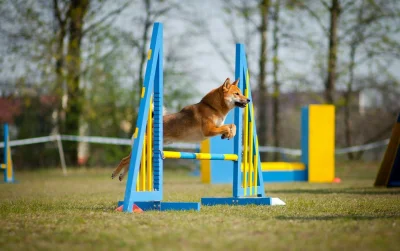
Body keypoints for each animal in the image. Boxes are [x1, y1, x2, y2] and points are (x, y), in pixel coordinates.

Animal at [111, 77, 250, 181]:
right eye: (237, 94)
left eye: (241, 92)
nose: (248, 99)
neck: (212, 107)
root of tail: (148, 124)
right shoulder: (209, 130)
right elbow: (227, 126)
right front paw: (228, 133)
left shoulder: (216, 127)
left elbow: (233, 125)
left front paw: (230, 134)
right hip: (146, 148)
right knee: (125, 160)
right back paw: (115, 173)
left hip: (148, 152)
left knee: (131, 161)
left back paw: (122, 176)